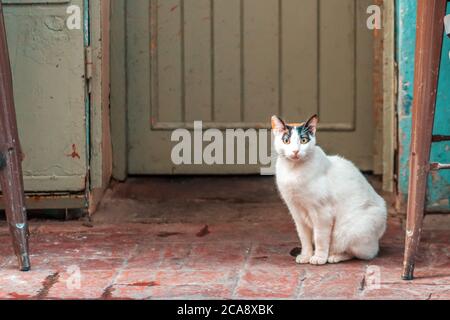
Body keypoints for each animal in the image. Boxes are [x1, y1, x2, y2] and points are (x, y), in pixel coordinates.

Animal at [270, 115, 386, 264]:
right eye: (286, 141)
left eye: (303, 140)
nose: (296, 151)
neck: (293, 171)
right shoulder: (296, 212)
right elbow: (304, 239)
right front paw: (306, 256)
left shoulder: (322, 213)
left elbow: (320, 238)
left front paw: (319, 258)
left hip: (351, 231)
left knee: (363, 254)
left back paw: (334, 256)